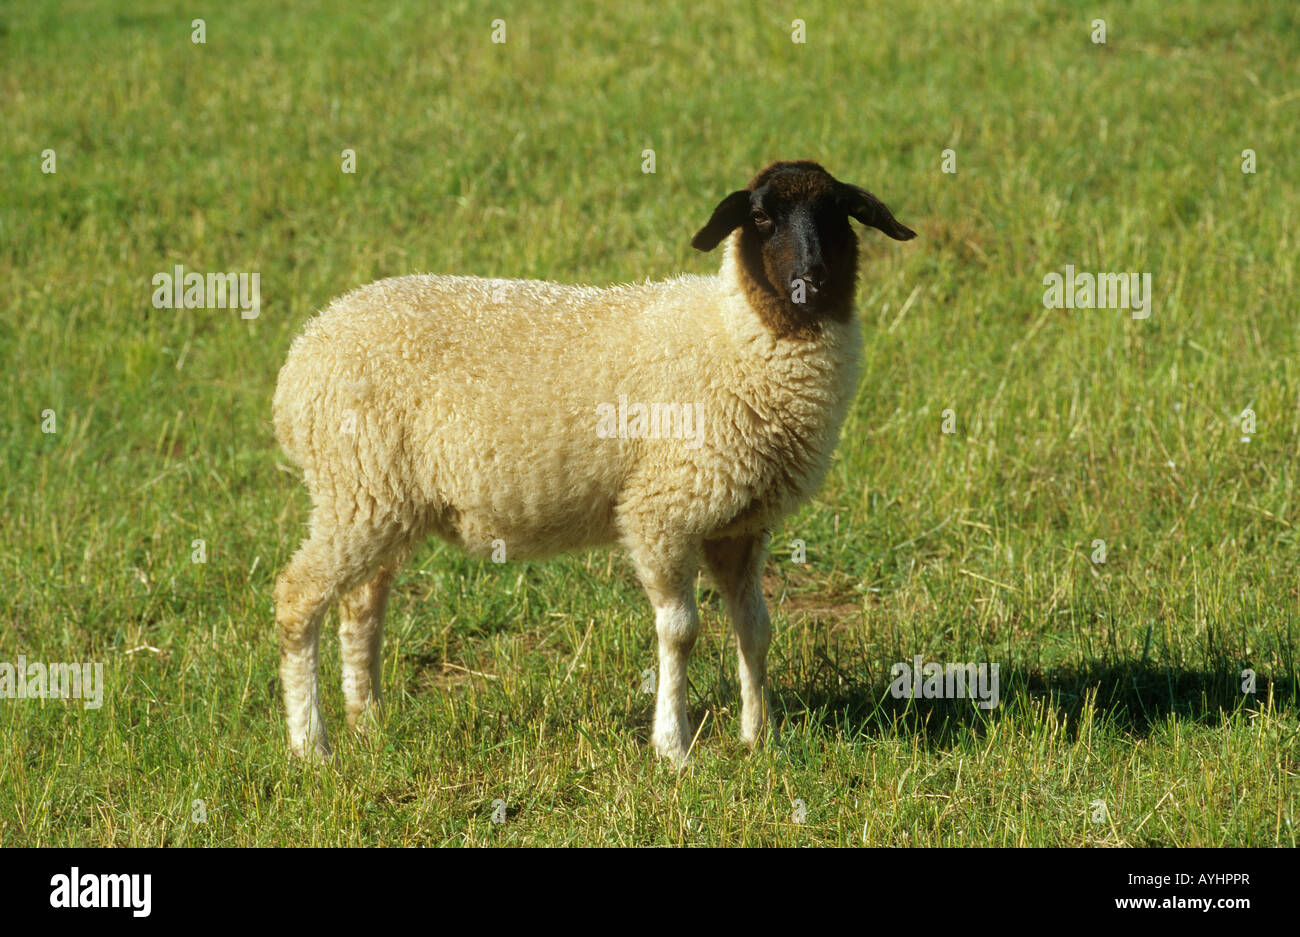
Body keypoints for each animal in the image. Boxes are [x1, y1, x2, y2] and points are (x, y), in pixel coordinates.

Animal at [272, 159, 915, 765]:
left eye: (837, 212)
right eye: (759, 217)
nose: (811, 279)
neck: (737, 337)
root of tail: (301, 356)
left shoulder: (741, 524)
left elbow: (755, 630)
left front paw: (763, 738)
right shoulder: (661, 511)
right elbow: (681, 633)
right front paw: (673, 747)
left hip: (383, 502)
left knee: (361, 606)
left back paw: (370, 723)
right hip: (355, 489)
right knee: (297, 599)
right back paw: (311, 746)